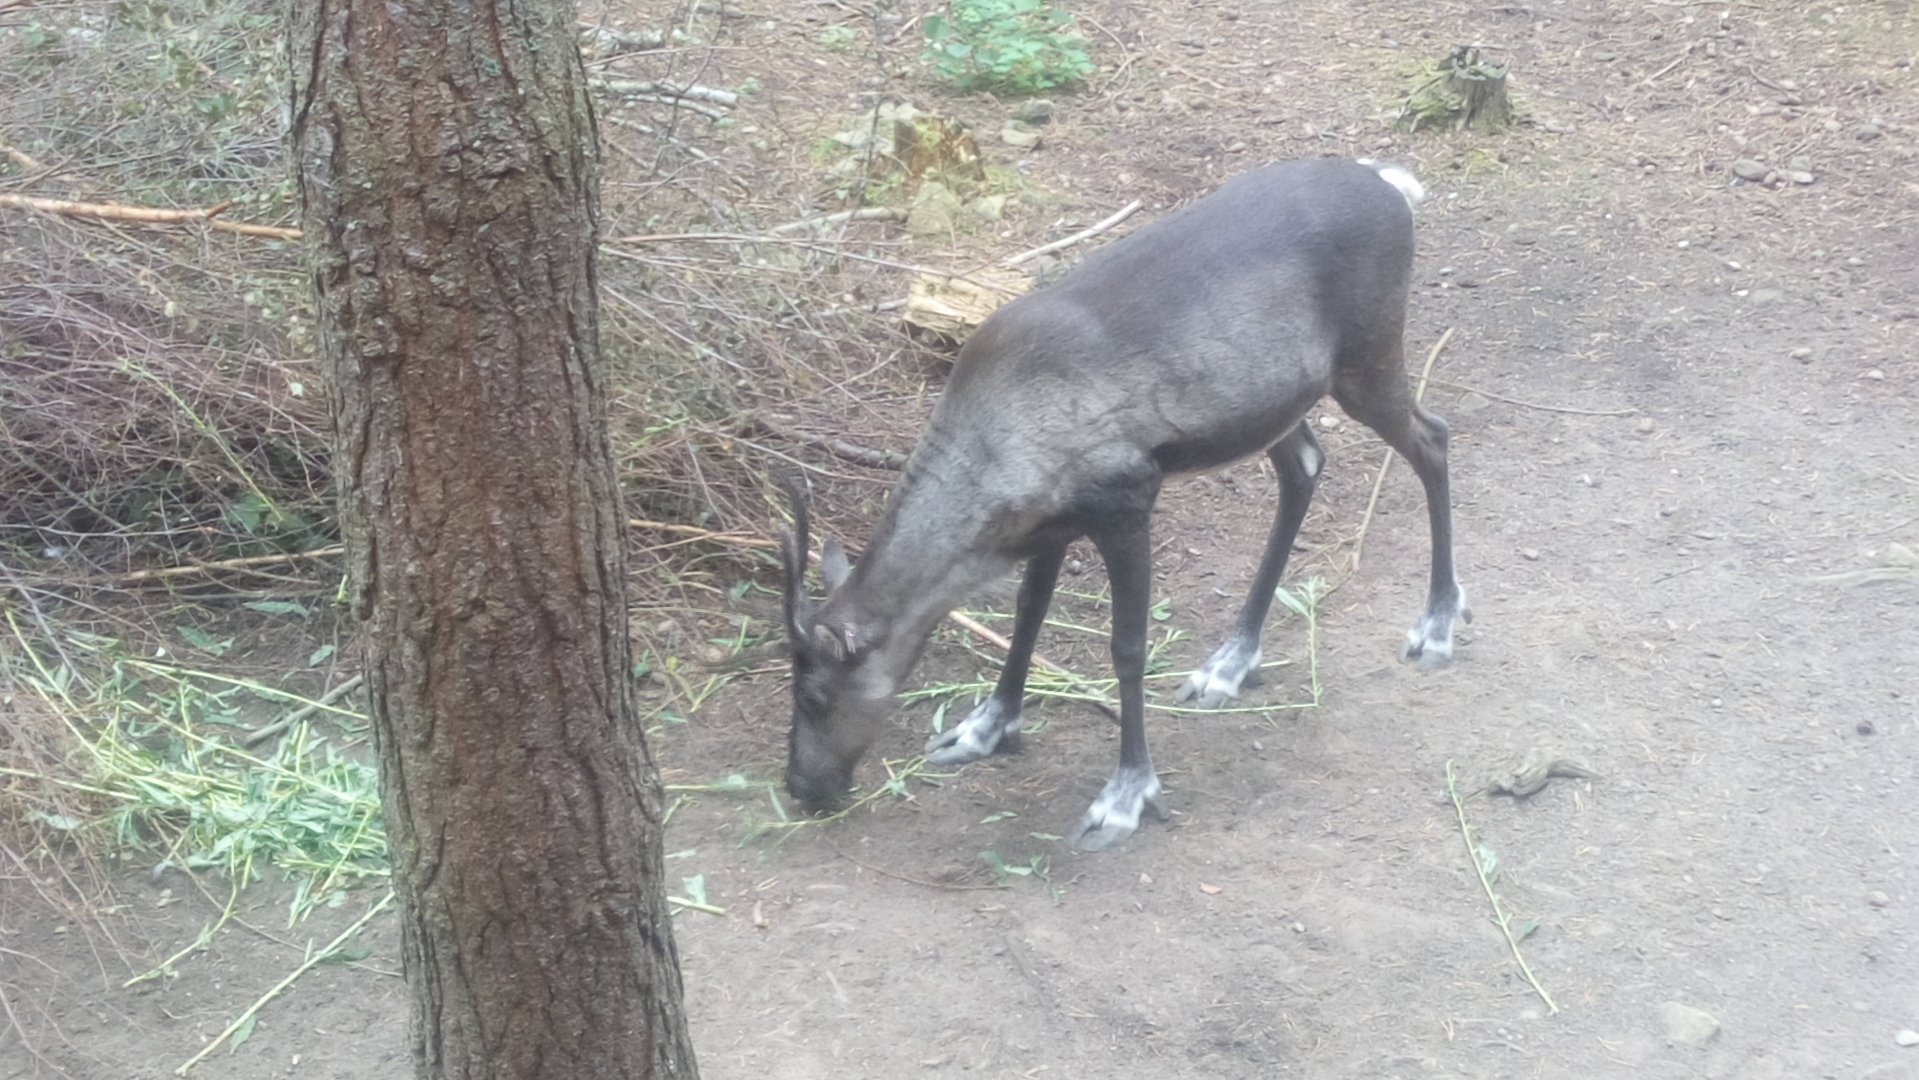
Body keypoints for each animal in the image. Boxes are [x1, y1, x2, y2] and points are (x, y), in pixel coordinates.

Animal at [780, 157, 1469, 851]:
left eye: (813, 695)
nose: (801, 788)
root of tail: (1390, 183)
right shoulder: (1050, 525)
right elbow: (1028, 613)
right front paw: (985, 727)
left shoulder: (1126, 498)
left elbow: (1128, 647)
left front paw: (1126, 794)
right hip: (1277, 403)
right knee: (1304, 467)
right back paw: (1230, 662)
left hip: (1367, 357)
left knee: (1433, 438)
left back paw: (1437, 621)